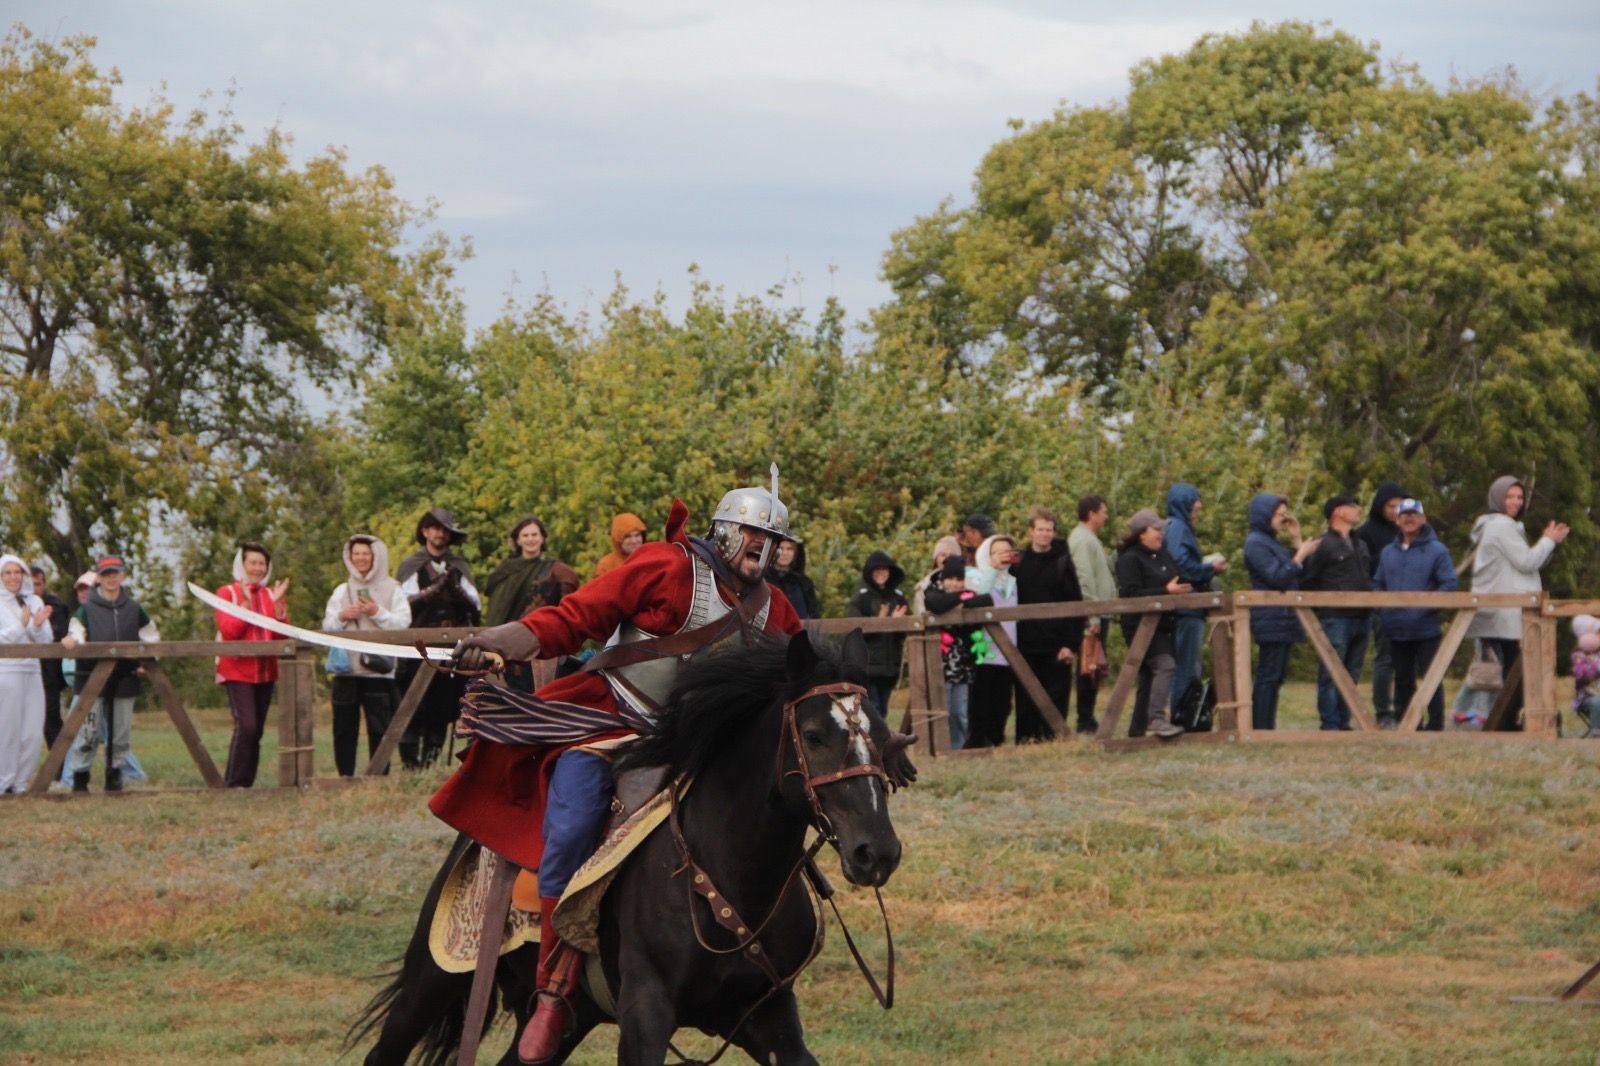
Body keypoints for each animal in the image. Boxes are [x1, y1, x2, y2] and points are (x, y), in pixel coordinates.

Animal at [355, 627, 908, 1056]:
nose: (876, 852)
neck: (733, 880)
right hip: (435, 978)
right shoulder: (646, 1014)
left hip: (572, 1020)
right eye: (813, 736)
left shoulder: (769, 1016)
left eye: (881, 736)